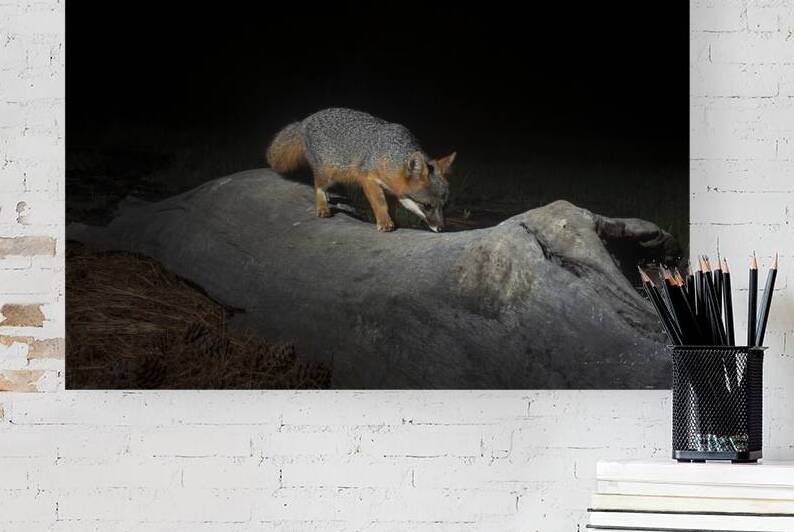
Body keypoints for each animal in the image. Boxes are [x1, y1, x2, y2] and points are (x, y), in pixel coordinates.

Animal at [266, 108, 456, 232]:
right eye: (427, 206)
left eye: (444, 206)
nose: (441, 228)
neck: (390, 155)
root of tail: (305, 120)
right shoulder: (367, 178)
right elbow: (380, 203)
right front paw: (384, 222)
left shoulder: (393, 190)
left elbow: (392, 207)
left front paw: (394, 221)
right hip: (328, 173)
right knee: (318, 186)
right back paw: (322, 206)